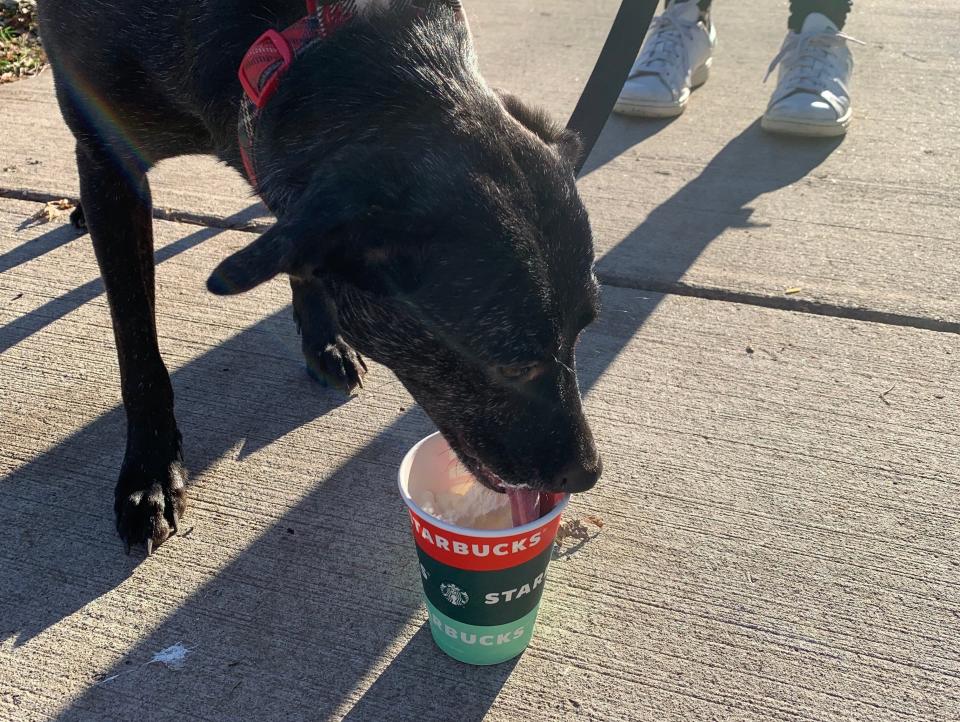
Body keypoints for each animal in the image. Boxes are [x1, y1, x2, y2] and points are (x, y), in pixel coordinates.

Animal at [39, 0, 608, 552]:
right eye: (512, 365)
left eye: (583, 331)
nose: (588, 474)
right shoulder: (110, 159)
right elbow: (138, 347)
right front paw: (151, 472)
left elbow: (300, 252)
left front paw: (323, 341)